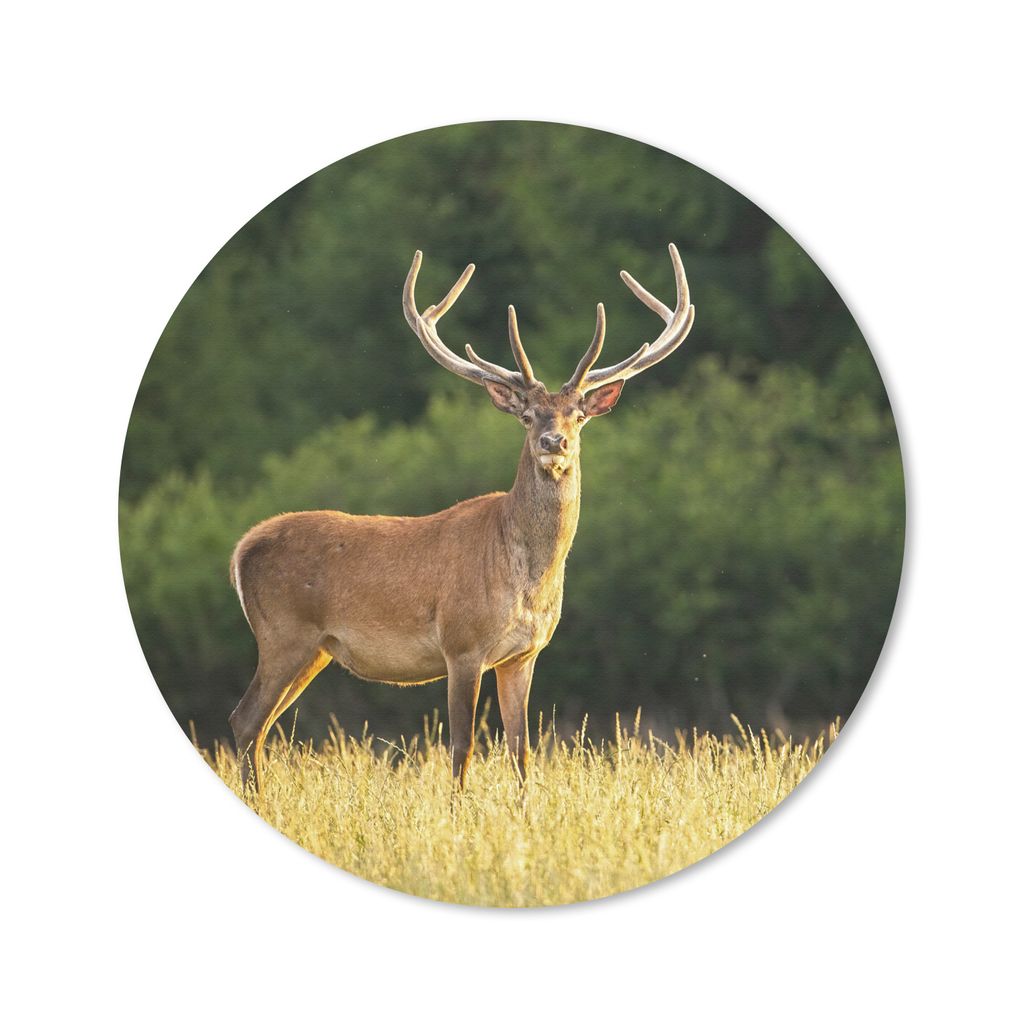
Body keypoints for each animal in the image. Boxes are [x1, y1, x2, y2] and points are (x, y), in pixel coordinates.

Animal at [228, 244, 695, 793]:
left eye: (578, 415)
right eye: (527, 415)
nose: (553, 442)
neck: (526, 578)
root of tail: (241, 550)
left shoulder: (524, 654)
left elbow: (522, 750)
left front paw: (524, 808)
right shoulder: (462, 643)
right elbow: (462, 747)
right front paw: (456, 807)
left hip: (316, 648)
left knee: (259, 725)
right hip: (283, 633)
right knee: (245, 719)